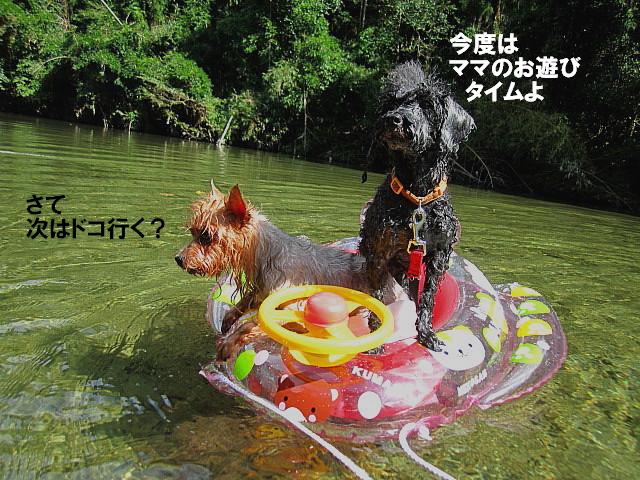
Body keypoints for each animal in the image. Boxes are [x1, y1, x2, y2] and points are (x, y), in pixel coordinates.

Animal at [175, 183, 396, 359]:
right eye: (193, 232)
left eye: (206, 236)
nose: (178, 259)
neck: (268, 256)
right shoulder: (261, 292)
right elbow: (244, 302)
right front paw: (228, 319)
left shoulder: (293, 311)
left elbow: (252, 324)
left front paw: (228, 344)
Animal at [359, 61, 475, 351]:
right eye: (393, 102)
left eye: (427, 106)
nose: (394, 119)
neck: (418, 198)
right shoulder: (380, 251)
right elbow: (377, 295)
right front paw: (375, 338)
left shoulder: (439, 254)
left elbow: (428, 298)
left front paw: (427, 334)